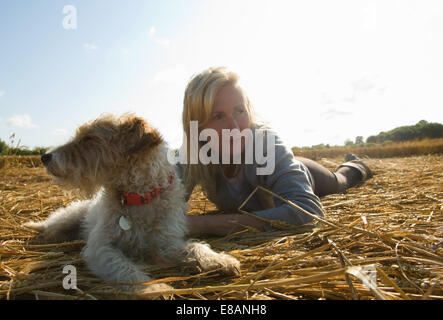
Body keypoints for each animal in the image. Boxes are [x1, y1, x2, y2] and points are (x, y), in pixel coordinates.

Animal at [23, 114, 239, 292]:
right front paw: (155, 289)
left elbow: (196, 246)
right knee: (49, 227)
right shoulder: (101, 247)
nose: (45, 156)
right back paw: (44, 237)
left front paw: (219, 260)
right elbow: (123, 267)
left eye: (89, 138)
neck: (139, 197)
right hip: (67, 218)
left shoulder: (166, 242)